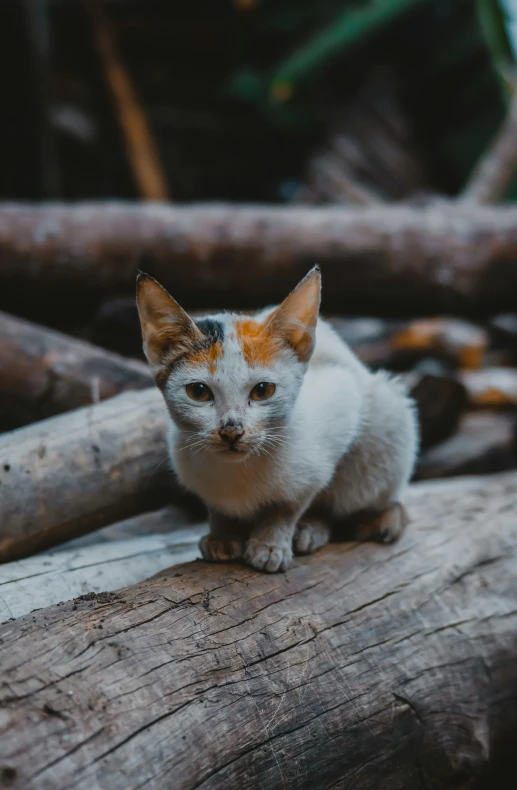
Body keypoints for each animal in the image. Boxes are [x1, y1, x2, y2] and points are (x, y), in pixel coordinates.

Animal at [135, 270, 418, 572]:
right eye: (198, 391)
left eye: (262, 390)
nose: (232, 431)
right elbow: (218, 507)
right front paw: (223, 534)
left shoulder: (341, 399)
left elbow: (292, 502)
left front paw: (270, 544)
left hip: (388, 418)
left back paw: (332, 526)